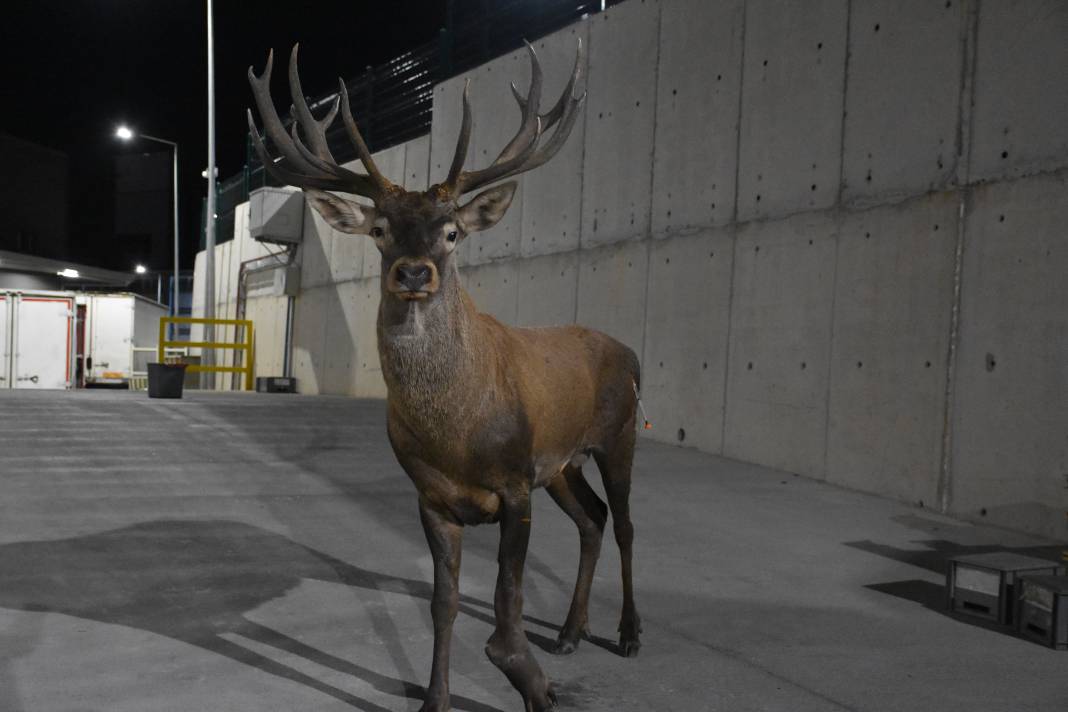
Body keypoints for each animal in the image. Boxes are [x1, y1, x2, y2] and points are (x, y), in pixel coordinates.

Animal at [245, 41, 636, 708]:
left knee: (627, 523)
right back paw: (569, 633)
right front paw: (435, 696)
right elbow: (442, 603)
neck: (458, 433)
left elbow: (507, 601)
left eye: (451, 232)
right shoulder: (432, 497)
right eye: (379, 229)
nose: (413, 272)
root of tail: (631, 352)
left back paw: (628, 635)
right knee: (593, 519)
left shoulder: (515, 482)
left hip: (619, 436)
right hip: (564, 463)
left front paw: (532, 683)